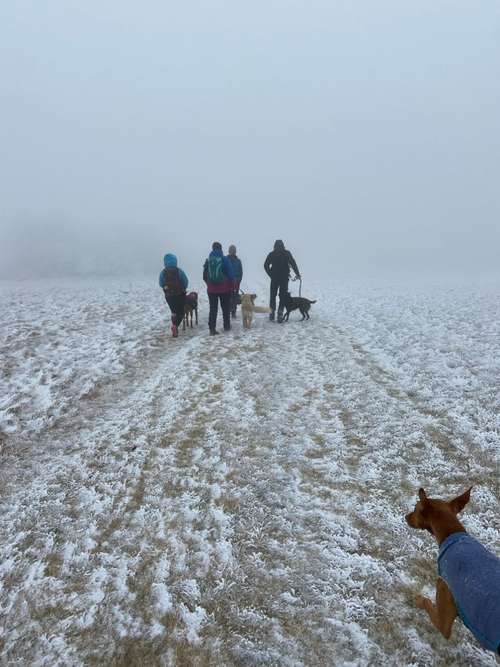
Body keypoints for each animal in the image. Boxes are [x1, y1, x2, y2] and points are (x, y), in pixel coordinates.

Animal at [406, 488, 500, 656]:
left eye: (415, 508)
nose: (405, 516)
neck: (452, 534)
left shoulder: (444, 611)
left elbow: (428, 604)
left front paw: (418, 599)